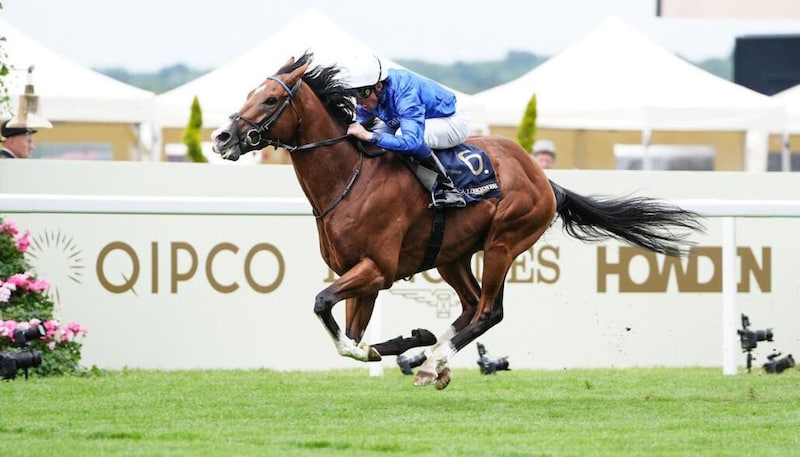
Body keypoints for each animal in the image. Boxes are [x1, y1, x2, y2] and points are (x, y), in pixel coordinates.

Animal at [210, 52, 705, 389]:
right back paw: (432, 358)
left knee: (489, 310)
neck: (348, 180)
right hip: (451, 254)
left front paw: (405, 344)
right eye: (250, 93)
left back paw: (433, 363)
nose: (222, 137)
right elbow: (348, 335)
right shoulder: (360, 273)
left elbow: (324, 308)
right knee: (469, 306)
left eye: (270, 98)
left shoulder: (378, 269)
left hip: (505, 241)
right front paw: (405, 340)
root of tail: (543, 178)